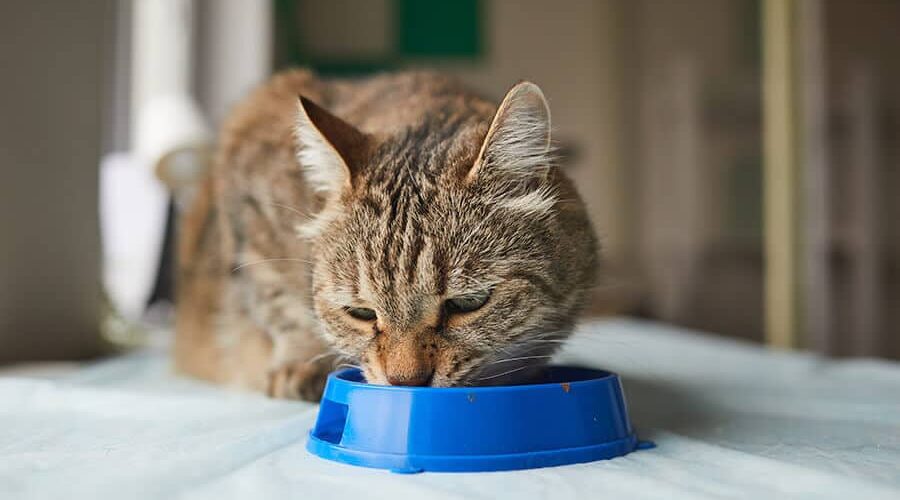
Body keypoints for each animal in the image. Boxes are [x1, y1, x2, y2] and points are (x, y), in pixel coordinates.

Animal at [176, 68, 596, 400]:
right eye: (361, 312)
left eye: (468, 303)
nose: (406, 381)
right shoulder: (248, 192)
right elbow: (276, 298)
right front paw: (302, 359)